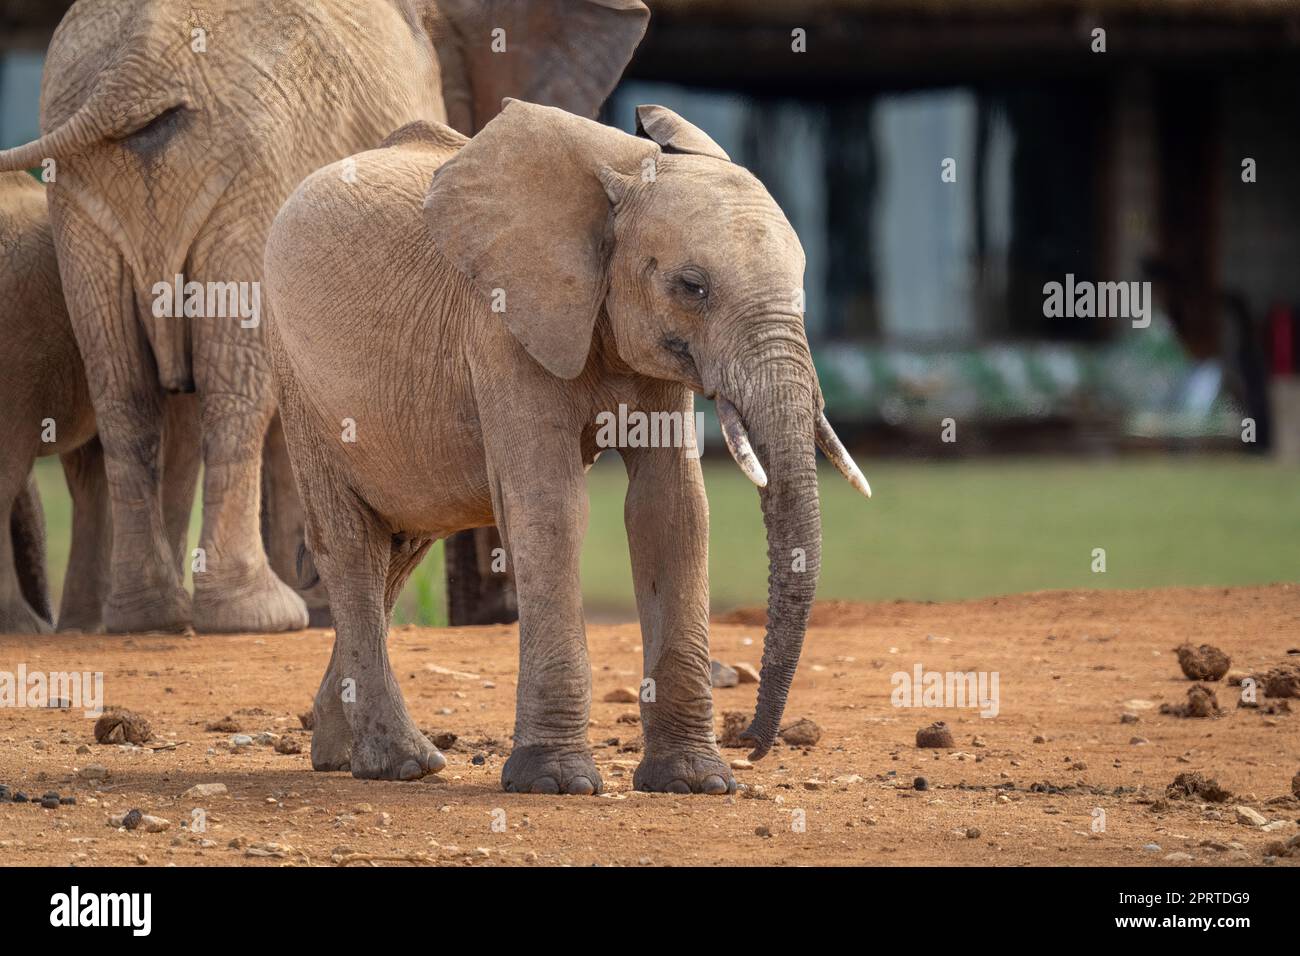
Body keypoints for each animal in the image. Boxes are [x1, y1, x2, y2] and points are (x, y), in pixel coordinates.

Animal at [266, 102, 873, 790]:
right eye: (692, 287)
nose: (753, 746)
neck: (625, 172)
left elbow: (672, 509)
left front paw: (695, 781)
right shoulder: (500, 324)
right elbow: (551, 507)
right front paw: (555, 782)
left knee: (396, 546)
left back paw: (339, 754)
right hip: (298, 377)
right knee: (351, 543)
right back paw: (403, 764)